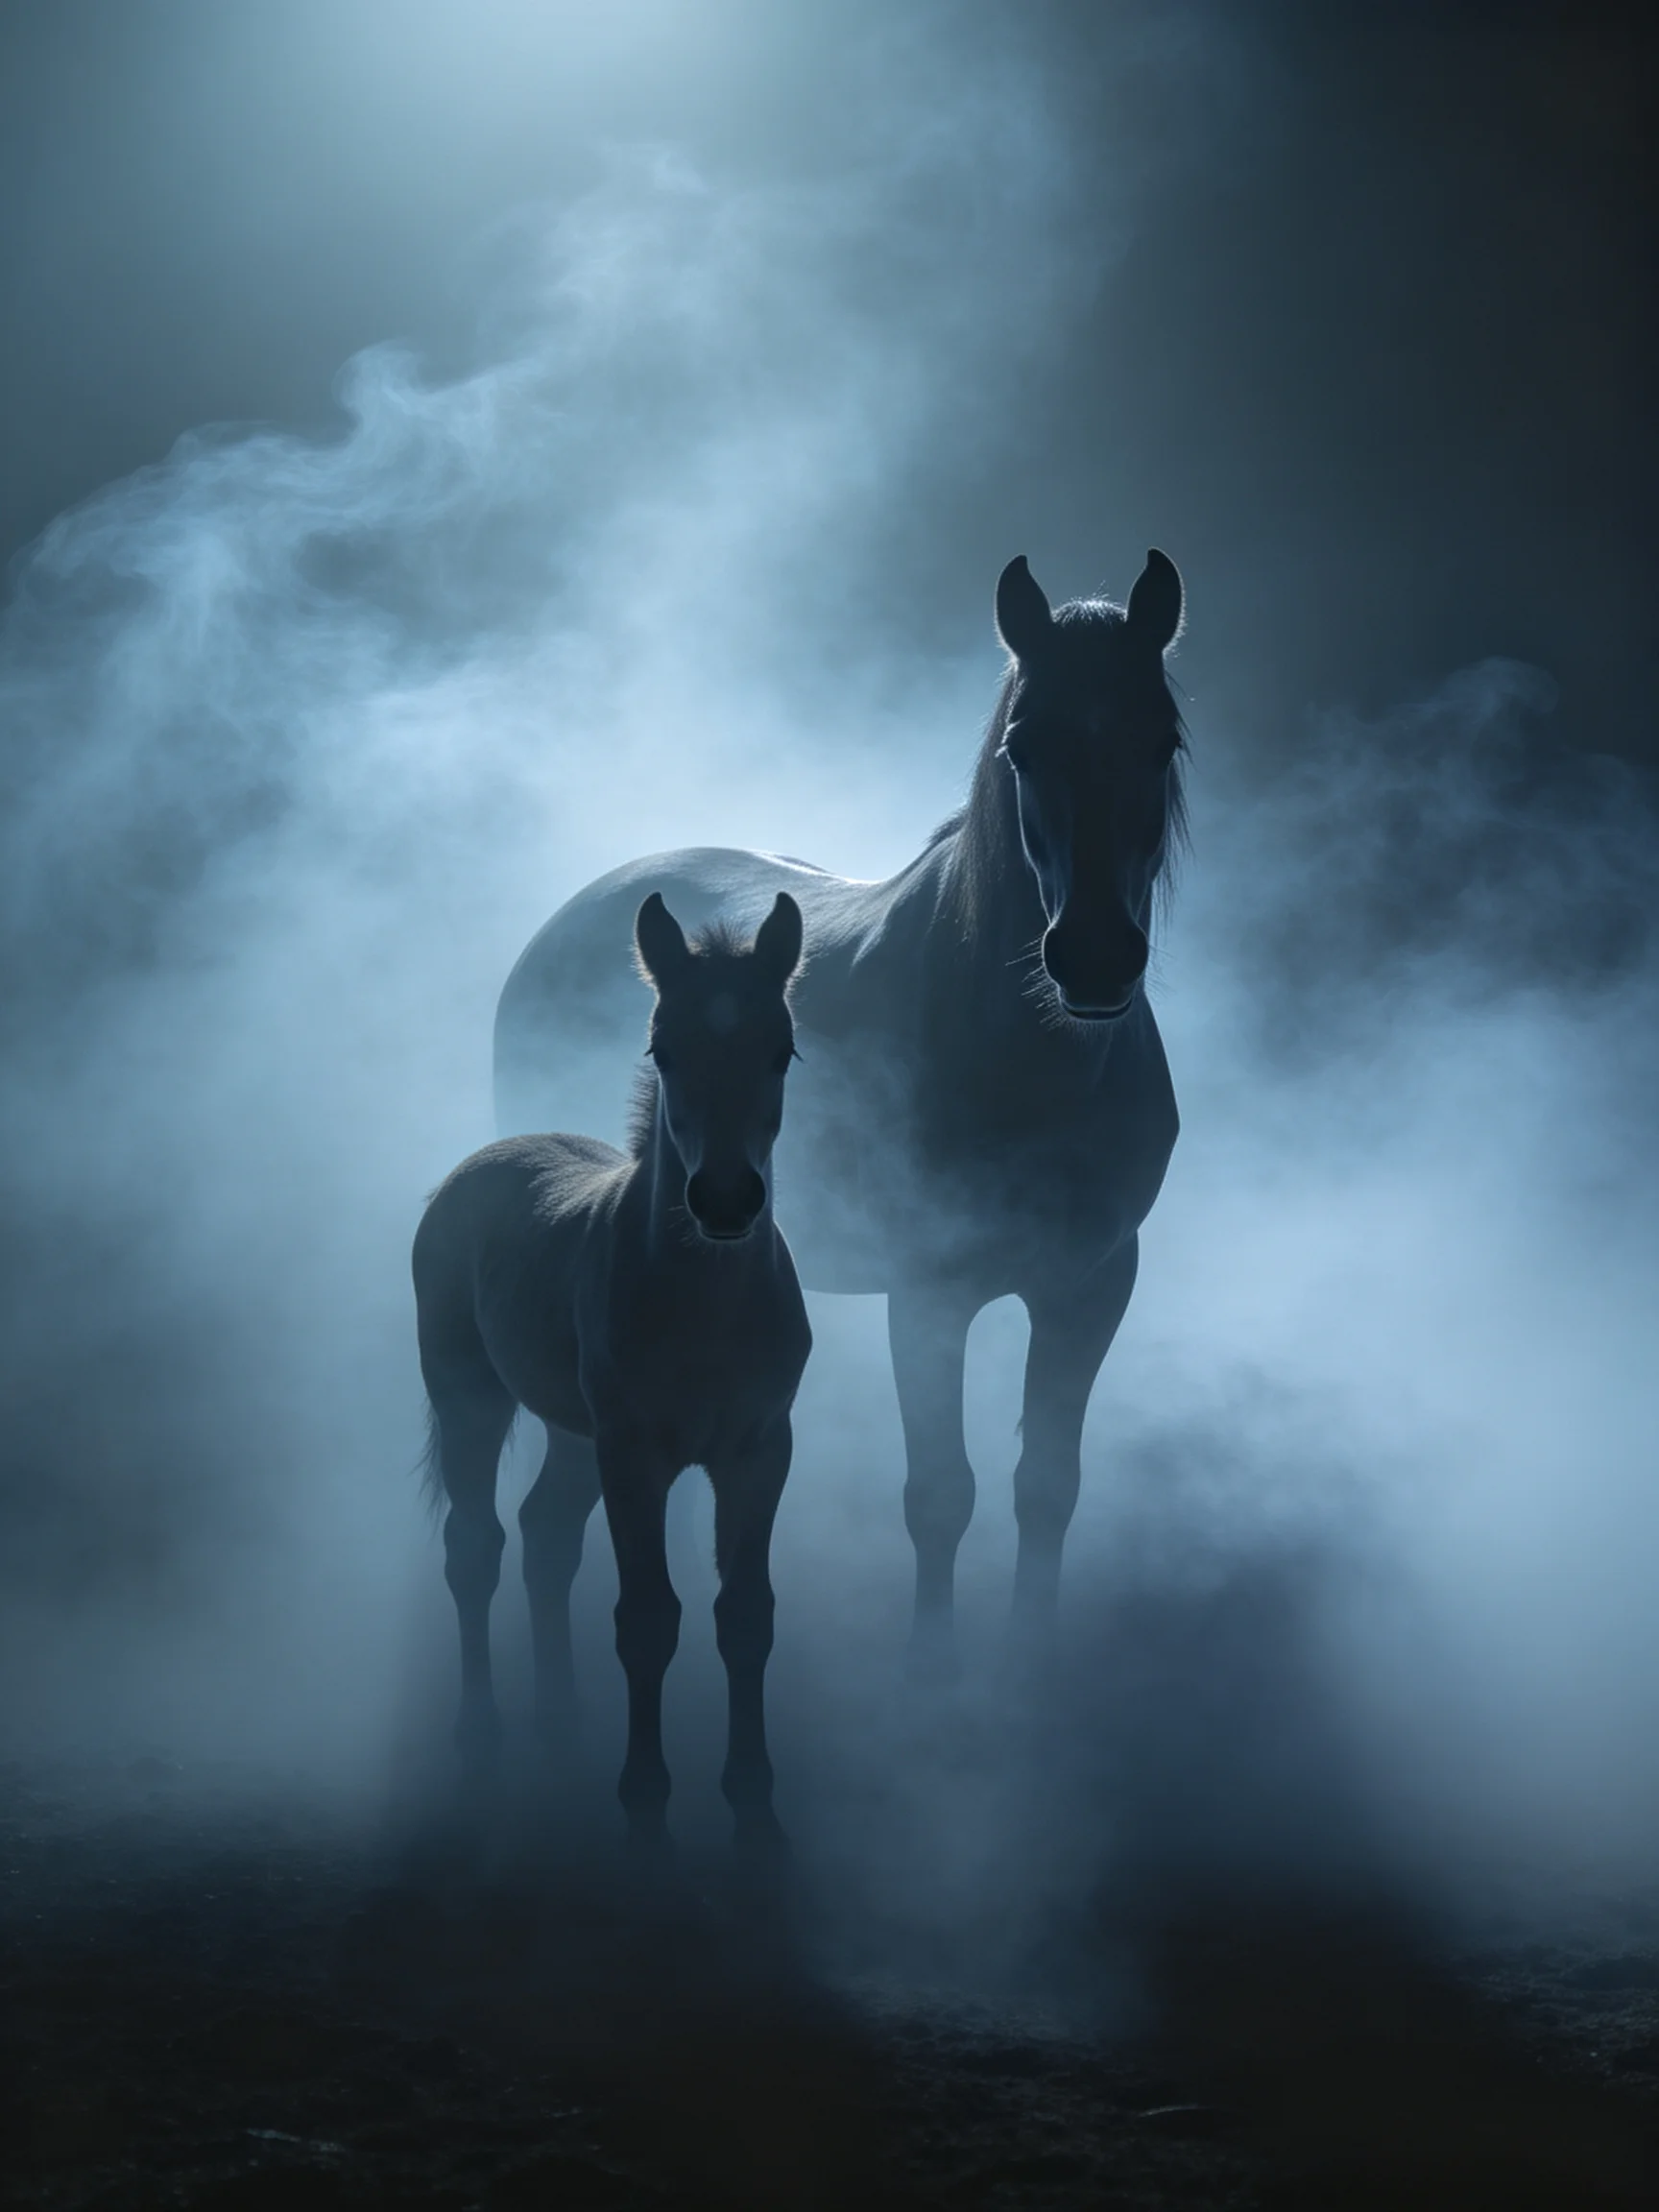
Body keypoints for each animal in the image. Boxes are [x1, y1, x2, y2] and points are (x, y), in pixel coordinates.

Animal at [414, 891, 810, 1847]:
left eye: (781, 1050)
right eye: (663, 1049)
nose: (726, 1201)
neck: (706, 1306)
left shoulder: (759, 1451)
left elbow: (747, 1615)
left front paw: (754, 1798)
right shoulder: (635, 1456)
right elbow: (647, 1619)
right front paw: (645, 1801)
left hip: (571, 1432)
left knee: (546, 1535)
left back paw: (562, 1724)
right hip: (469, 1399)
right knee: (476, 1546)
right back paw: (481, 1735)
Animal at [494, 551, 1186, 1664]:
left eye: (1161, 741)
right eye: (1024, 747)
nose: (1091, 961)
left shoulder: (1091, 1286)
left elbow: (1048, 1488)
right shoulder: (930, 1295)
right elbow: (942, 1497)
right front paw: (931, 1679)